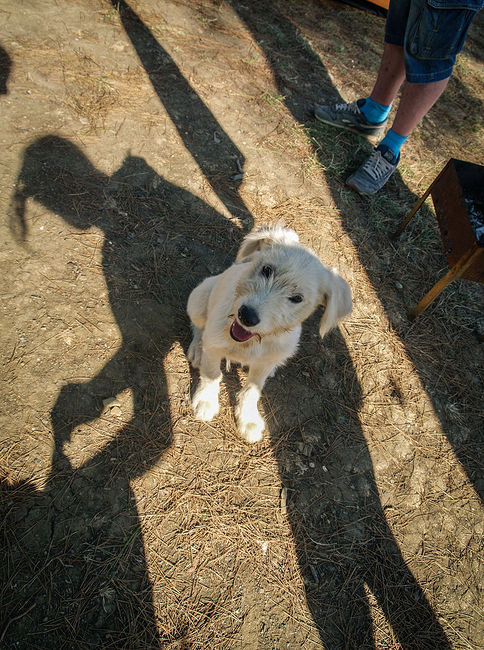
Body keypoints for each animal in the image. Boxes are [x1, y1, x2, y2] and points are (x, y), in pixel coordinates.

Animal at [186, 225, 352, 443]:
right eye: (267, 270)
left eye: (297, 298)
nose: (246, 315)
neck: (248, 343)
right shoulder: (214, 344)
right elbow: (211, 373)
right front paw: (206, 401)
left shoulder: (263, 362)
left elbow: (253, 389)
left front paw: (248, 419)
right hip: (199, 298)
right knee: (198, 328)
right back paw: (197, 349)